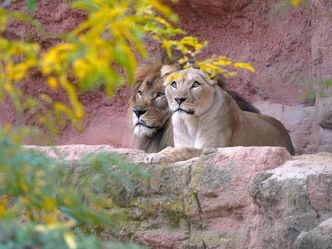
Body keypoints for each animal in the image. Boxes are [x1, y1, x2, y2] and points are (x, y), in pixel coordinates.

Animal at [144, 66, 294, 163]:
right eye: (173, 84)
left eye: (195, 84)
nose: (179, 99)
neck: (190, 121)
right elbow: (176, 147)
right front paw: (156, 154)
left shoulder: (212, 148)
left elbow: (185, 150)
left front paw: (156, 156)